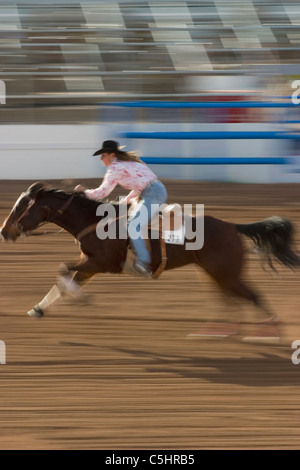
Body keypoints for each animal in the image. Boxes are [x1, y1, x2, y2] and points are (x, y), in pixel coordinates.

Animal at [1, 181, 298, 342]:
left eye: (21, 207)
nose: (5, 231)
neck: (95, 220)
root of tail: (233, 226)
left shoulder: (102, 263)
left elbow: (63, 271)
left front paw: (83, 299)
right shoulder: (89, 262)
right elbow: (65, 278)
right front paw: (38, 309)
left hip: (226, 273)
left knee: (253, 296)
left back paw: (266, 334)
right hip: (213, 273)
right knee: (229, 300)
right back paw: (216, 332)